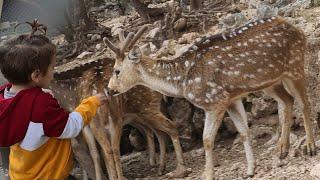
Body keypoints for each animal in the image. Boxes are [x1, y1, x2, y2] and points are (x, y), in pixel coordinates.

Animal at [51, 54, 188, 179]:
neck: (70, 99)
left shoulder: (88, 126)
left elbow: (97, 153)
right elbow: (99, 152)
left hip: (146, 109)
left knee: (167, 127)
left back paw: (176, 168)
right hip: (140, 114)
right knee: (158, 132)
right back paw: (160, 168)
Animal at [105, 16, 318, 179]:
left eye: (116, 71)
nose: (109, 90)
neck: (183, 81)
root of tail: (297, 28)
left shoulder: (215, 101)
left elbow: (207, 139)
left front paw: (208, 174)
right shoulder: (232, 98)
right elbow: (244, 132)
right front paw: (250, 170)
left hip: (295, 66)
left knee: (304, 102)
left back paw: (310, 147)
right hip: (271, 82)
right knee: (287, 101)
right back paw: (282, 149)